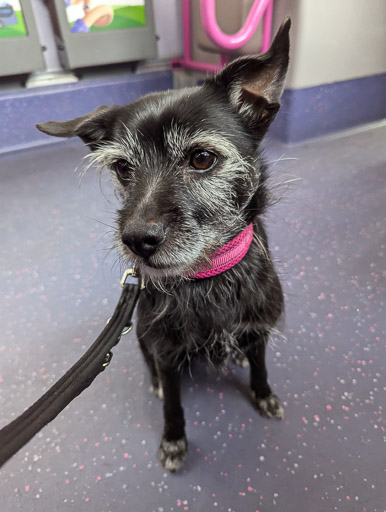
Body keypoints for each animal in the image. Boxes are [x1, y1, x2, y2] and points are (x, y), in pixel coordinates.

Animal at [37, 19, 292, 468]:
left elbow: (260, 367)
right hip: (140, 331)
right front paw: (174, 440)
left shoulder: (258, 330)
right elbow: (173, 403)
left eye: (202, 159)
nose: (136, 240)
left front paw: (263, 396)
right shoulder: (167, 351)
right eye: (123, 168)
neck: (207, 277)